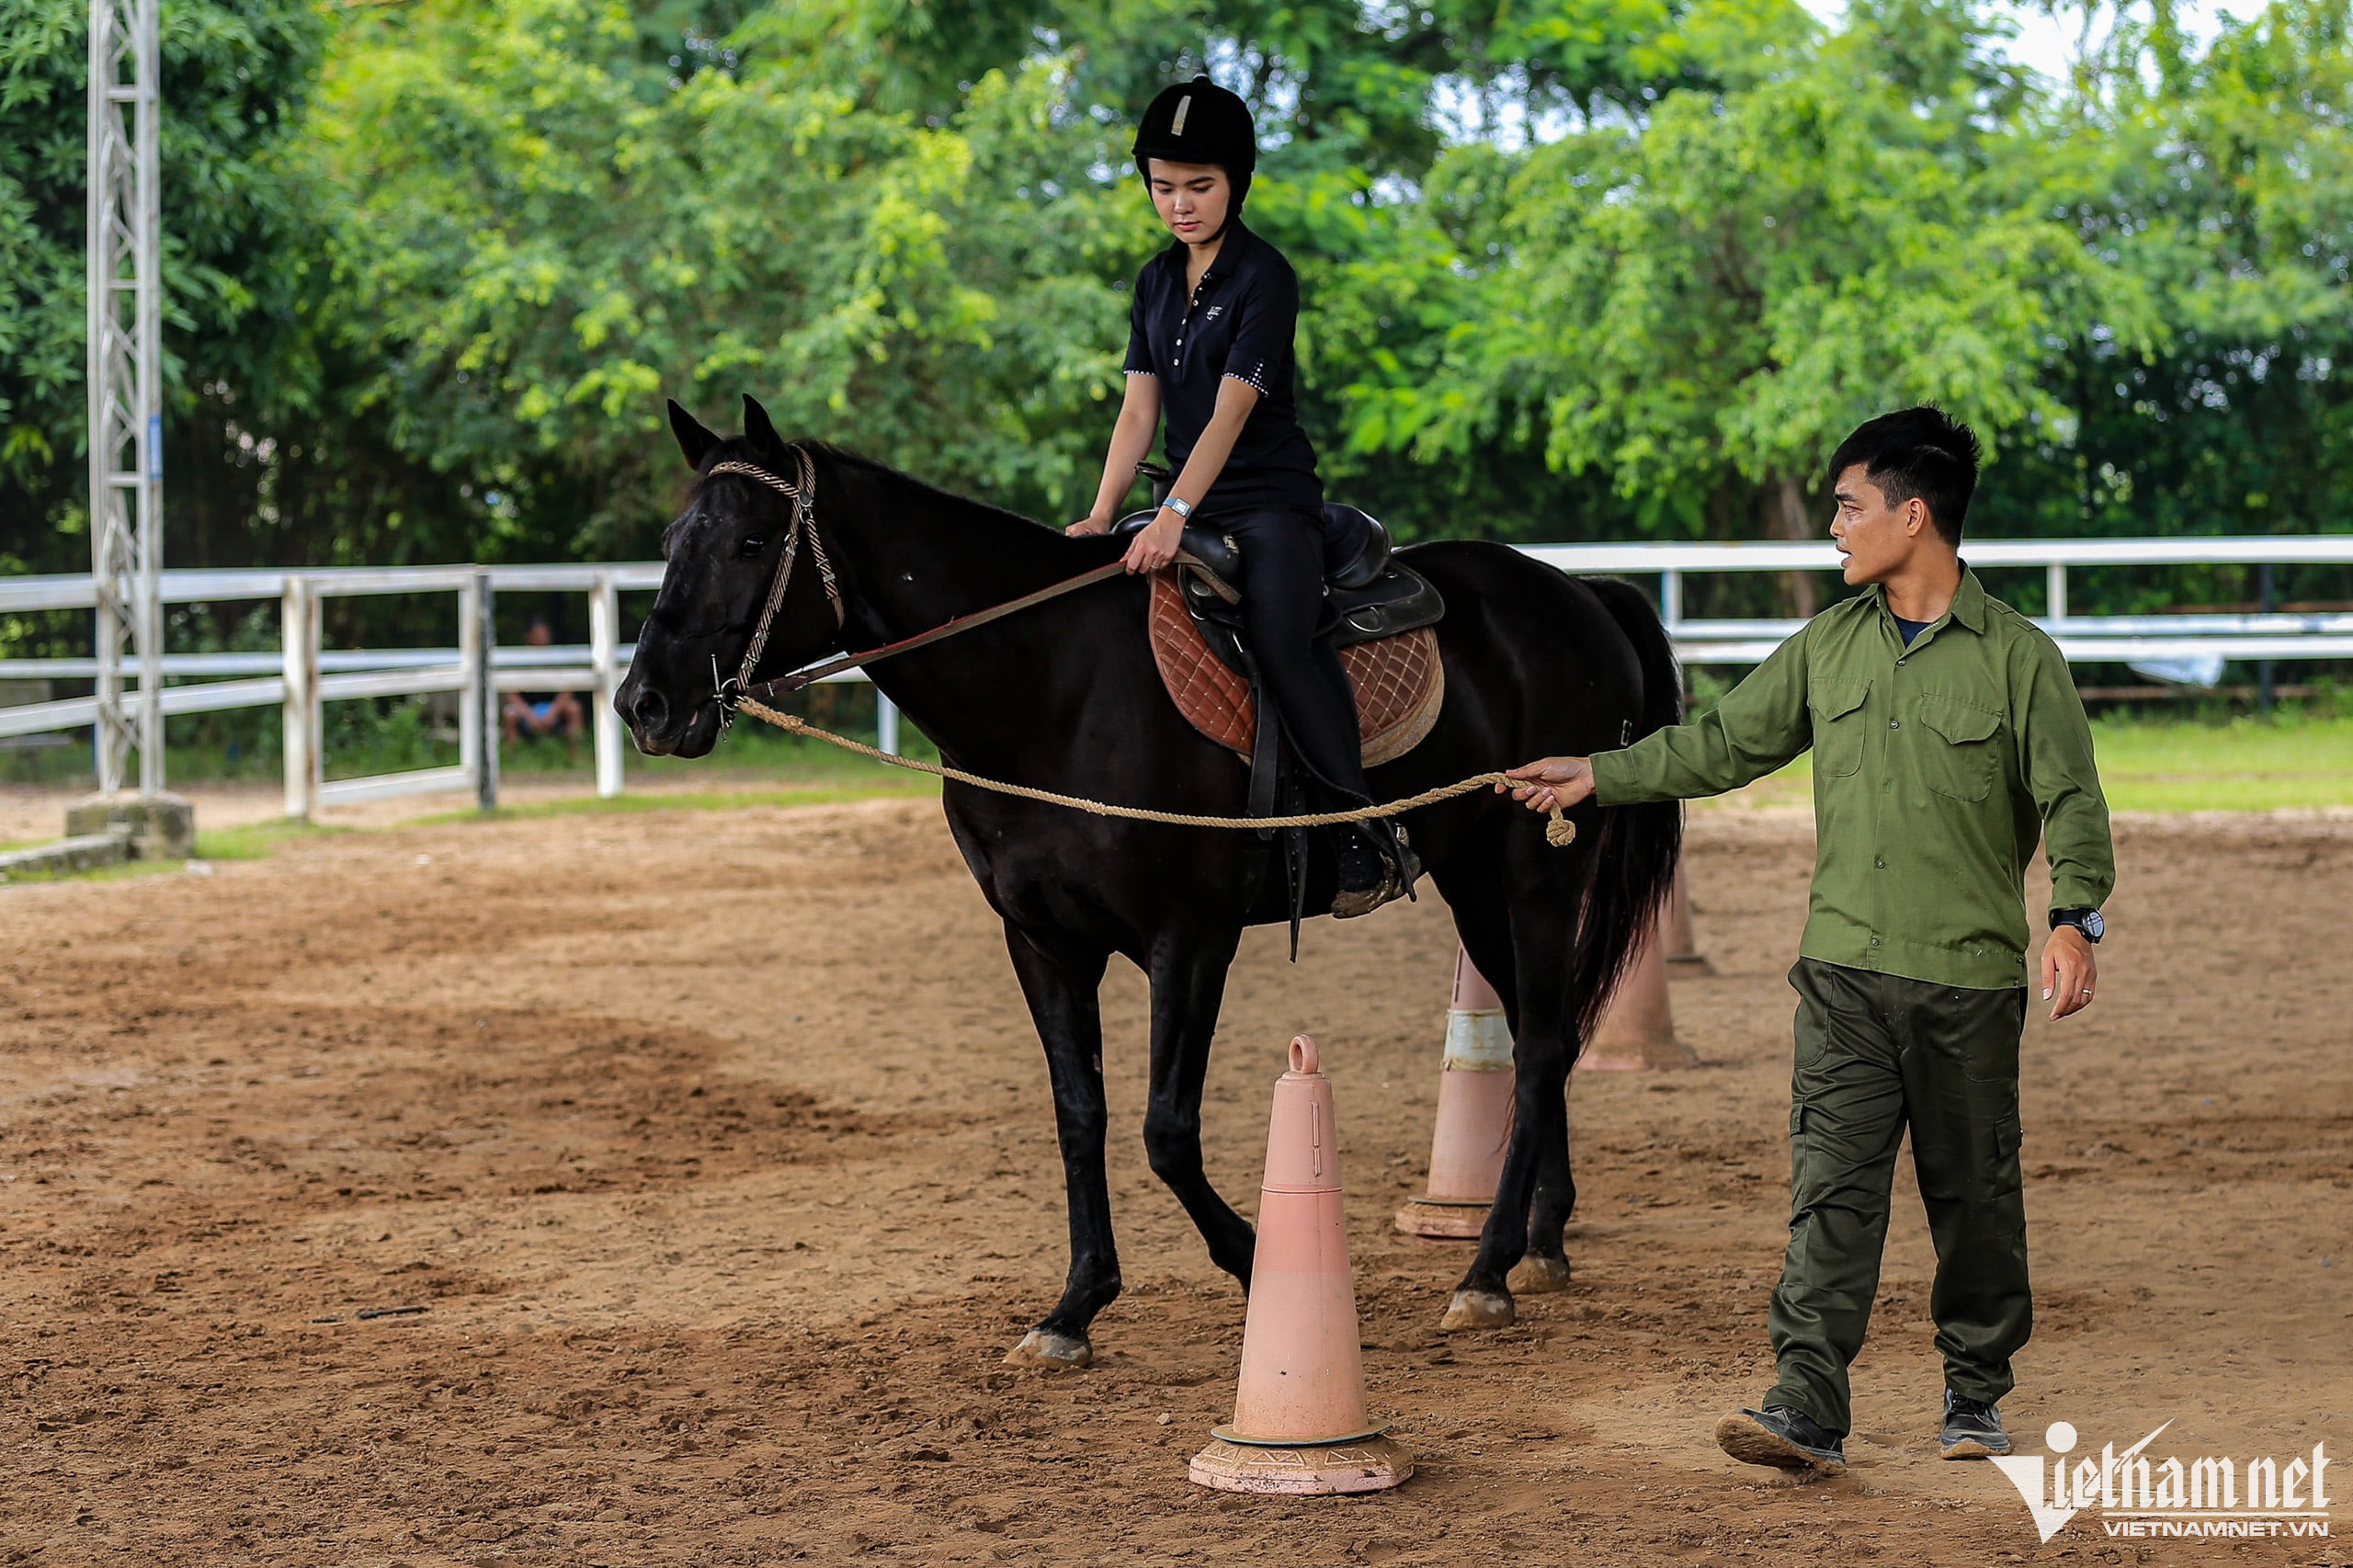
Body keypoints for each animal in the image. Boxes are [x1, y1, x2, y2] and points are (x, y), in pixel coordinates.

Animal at [616, 397, 1684, 1365]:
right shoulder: (1042, 943)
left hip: (1538, 872)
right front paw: (1074, 1307)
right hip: (1473, 880)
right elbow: (1078, 1115)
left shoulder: (1191, 938)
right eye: (671, 541)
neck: (1053, 687)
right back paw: (1541, 1241)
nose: (646, 705)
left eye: (753, 541)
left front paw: (1259, 1263)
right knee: (1544, 1036)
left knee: (1539, 1048)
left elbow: (1164, 1129)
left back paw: (1486, 1271)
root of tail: (1581, 593)